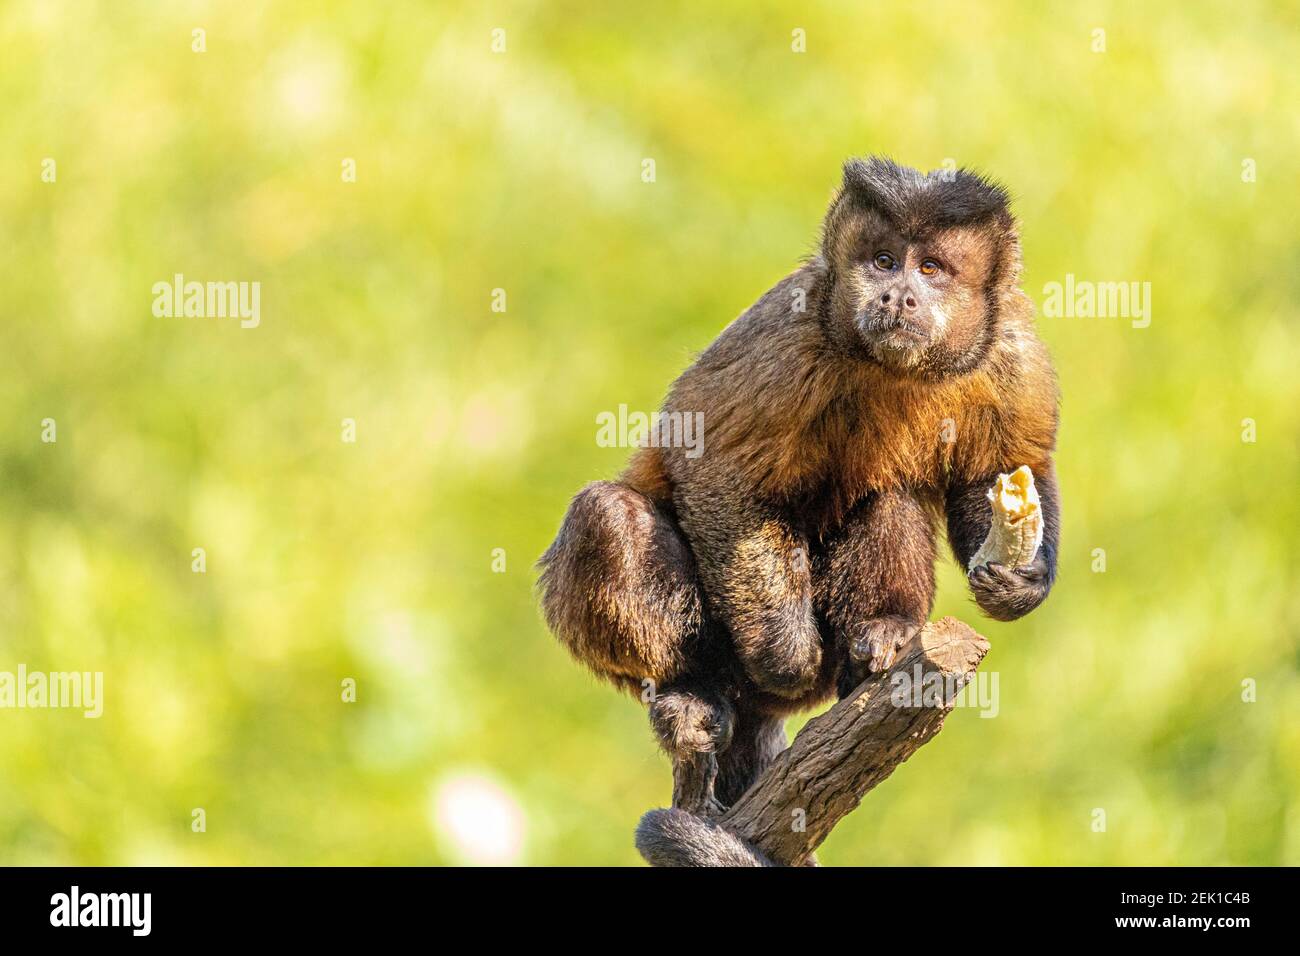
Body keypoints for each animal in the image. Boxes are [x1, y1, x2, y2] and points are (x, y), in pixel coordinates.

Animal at [535, 157, 1055, 822]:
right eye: (883, 260)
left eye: (930, 269)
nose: (896, 293)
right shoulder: (788, 330)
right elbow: (717, 470)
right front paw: (786, 653)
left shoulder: (1012, 350)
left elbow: (1005, 472)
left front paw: (1022, 581)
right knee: (607, 515)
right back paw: (691, 691)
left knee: (890, 494)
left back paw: (880, 634)